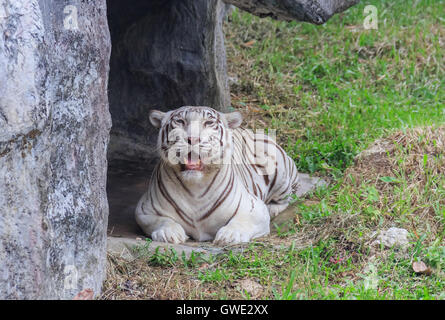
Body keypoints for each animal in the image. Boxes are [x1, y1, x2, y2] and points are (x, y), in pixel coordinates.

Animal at [135, 106, 298, 244]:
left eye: (208, 123)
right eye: (180, 121)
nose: (192, 139)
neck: (195, 188)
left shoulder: (255, 209)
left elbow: (242, 221)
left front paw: (230, 235)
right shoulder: (144, 210)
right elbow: (162, 220)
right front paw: (169, 233)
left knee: (287, 197)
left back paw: (273, 208)